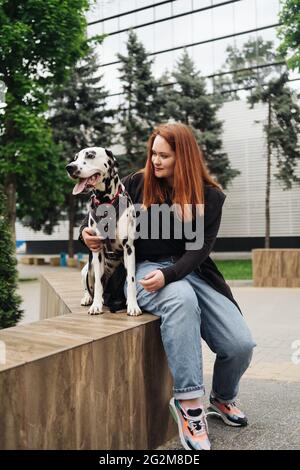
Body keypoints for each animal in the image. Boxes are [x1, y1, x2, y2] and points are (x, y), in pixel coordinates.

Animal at [66, 147, 141, 316]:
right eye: (75, 157)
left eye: (90, 155)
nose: (70, 167)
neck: (106, 203)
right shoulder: (96, 249)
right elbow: (98, 284)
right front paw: (96, 305)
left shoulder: (129, 248)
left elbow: (131, 279)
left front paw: (133, 305)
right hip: (86, 270)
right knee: (89, 285)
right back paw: (88, 298)